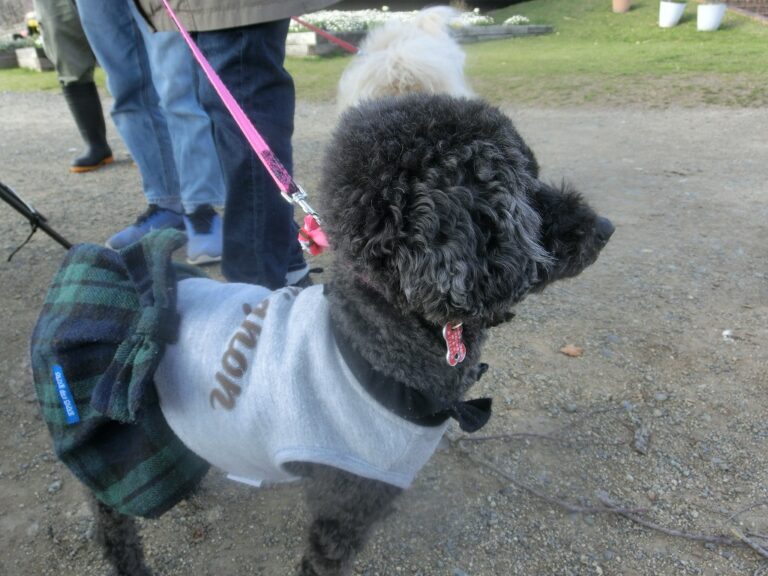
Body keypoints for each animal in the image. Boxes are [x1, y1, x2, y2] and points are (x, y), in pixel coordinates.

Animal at [31, 95, 612, 576]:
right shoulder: (344, 506)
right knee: (112, 519)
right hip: (109, 444)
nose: (605, 227)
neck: (376, 342)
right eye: (520, 186)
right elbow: (323, 559)